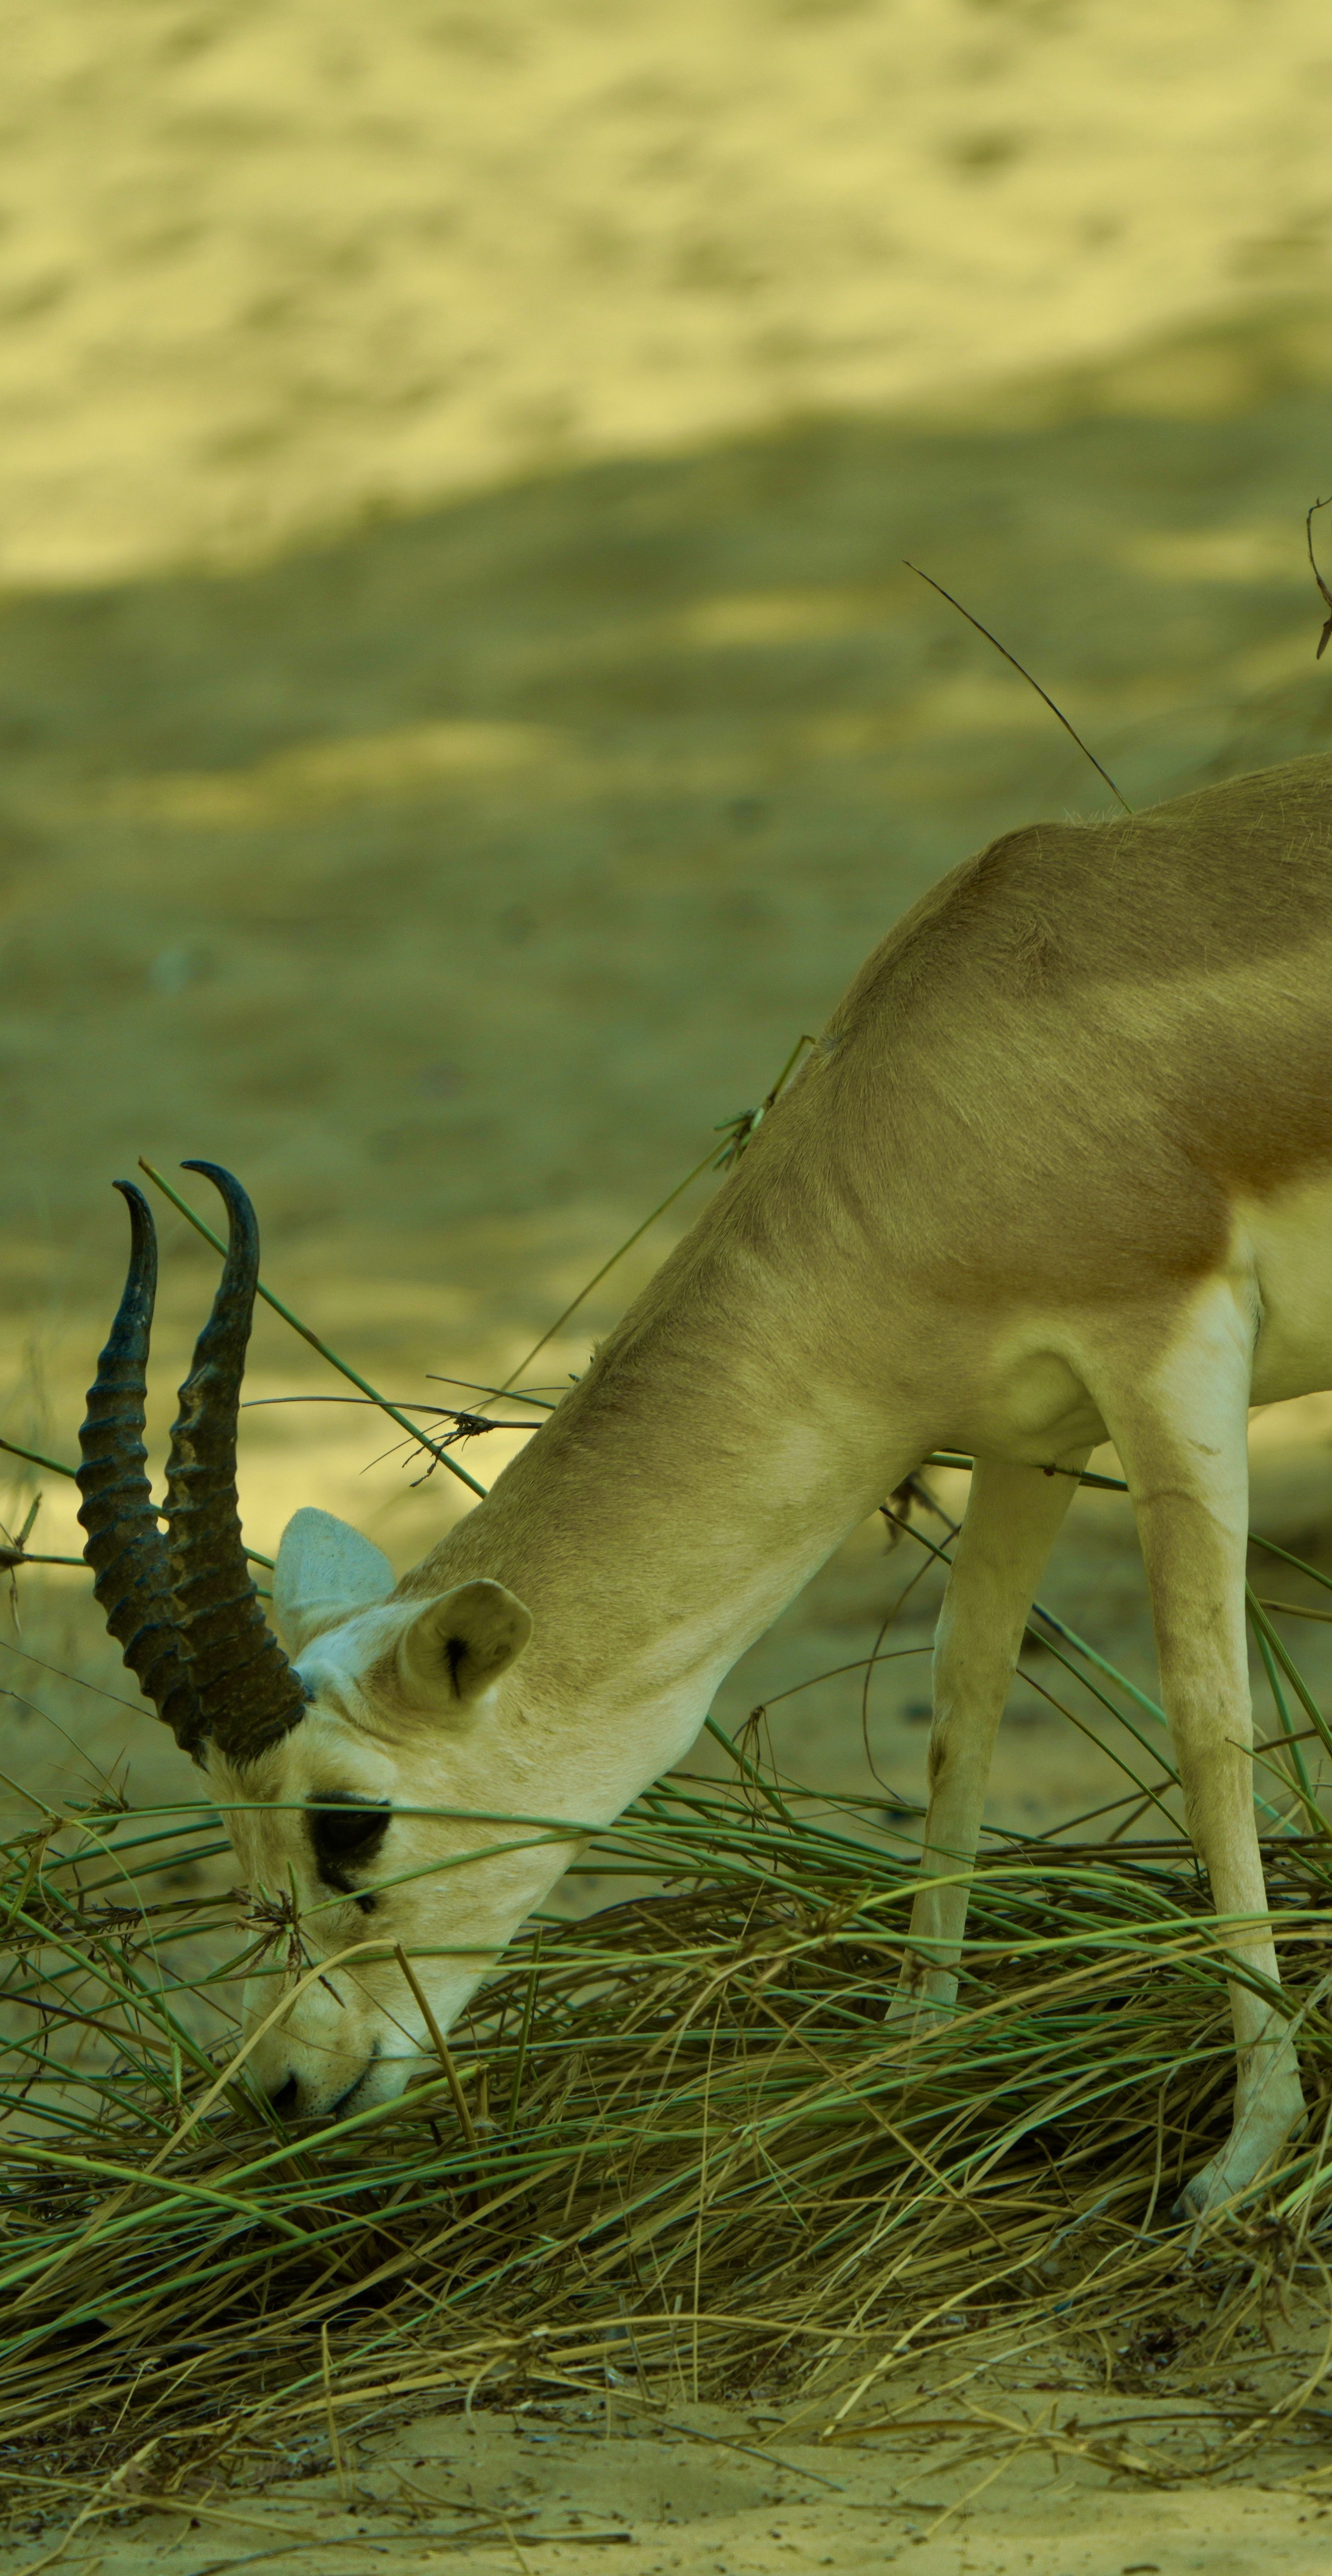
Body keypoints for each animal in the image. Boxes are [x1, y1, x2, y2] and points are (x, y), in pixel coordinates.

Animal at [77, 751, 1332, 2220]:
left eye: (348, 1826)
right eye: (237, 1829)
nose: (286, 2084)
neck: (957, 1067)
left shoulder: (1167, 1355)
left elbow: (1205, 1719)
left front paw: (1244, 2152)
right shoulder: (1032, 1429)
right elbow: (961, 1699)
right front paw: (907, 2049)